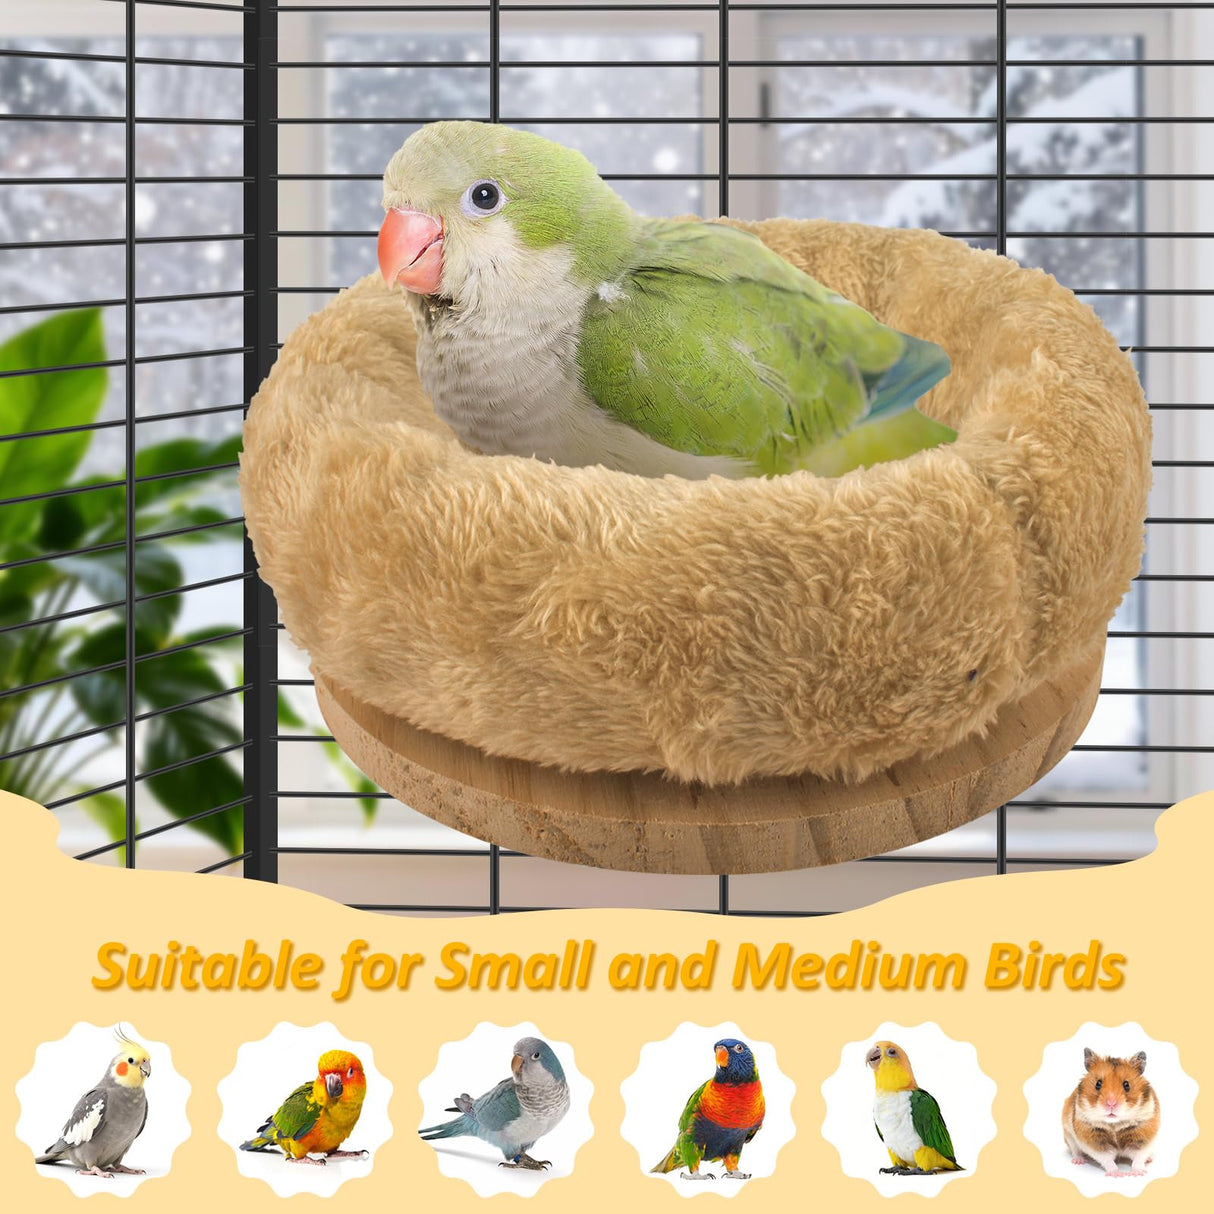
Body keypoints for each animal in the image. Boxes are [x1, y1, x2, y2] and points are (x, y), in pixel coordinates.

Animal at [1062, 1048, 1159, 1177]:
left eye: (1127, 1085)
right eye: (1098, 1084)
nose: (1111, 1104)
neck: (1115, 1125)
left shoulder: (1143, 1135)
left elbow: (1139, 1157)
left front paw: (1137, 1173)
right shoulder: (1094, 1140)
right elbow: (1107, 1159)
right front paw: (1117, 1174)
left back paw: (1149, 1159)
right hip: (1069, 1136)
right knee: (1076, 1151)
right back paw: (1079, 1160)